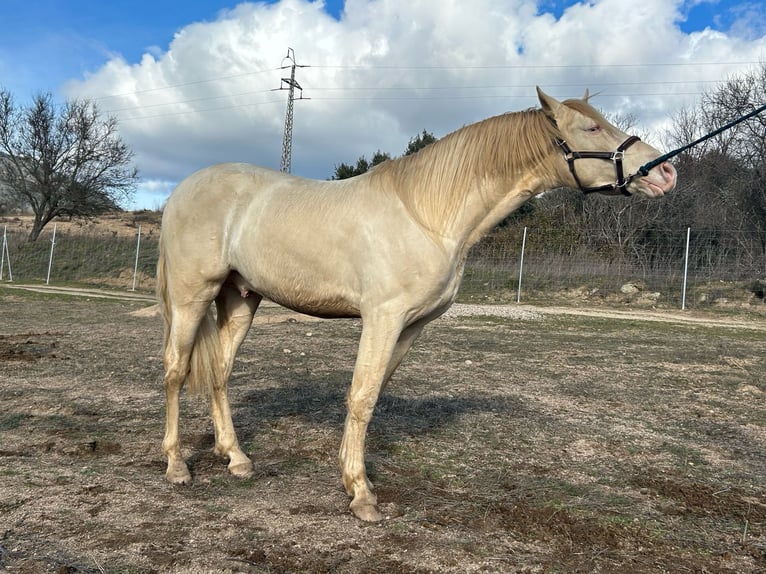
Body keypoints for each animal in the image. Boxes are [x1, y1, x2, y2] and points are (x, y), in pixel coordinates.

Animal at [156, 88, 680, 524]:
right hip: (192, 296)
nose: (665, 171)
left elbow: (371, 396)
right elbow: (361, 397)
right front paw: (361, 495)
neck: (427, 214)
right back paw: (178, 465)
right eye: (590, 128)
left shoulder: (411, 326)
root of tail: (183, 190)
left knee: (221, 373)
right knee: (177, 370)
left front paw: (349, 475)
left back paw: (236, 458)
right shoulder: (382, 319)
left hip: (241, 298)